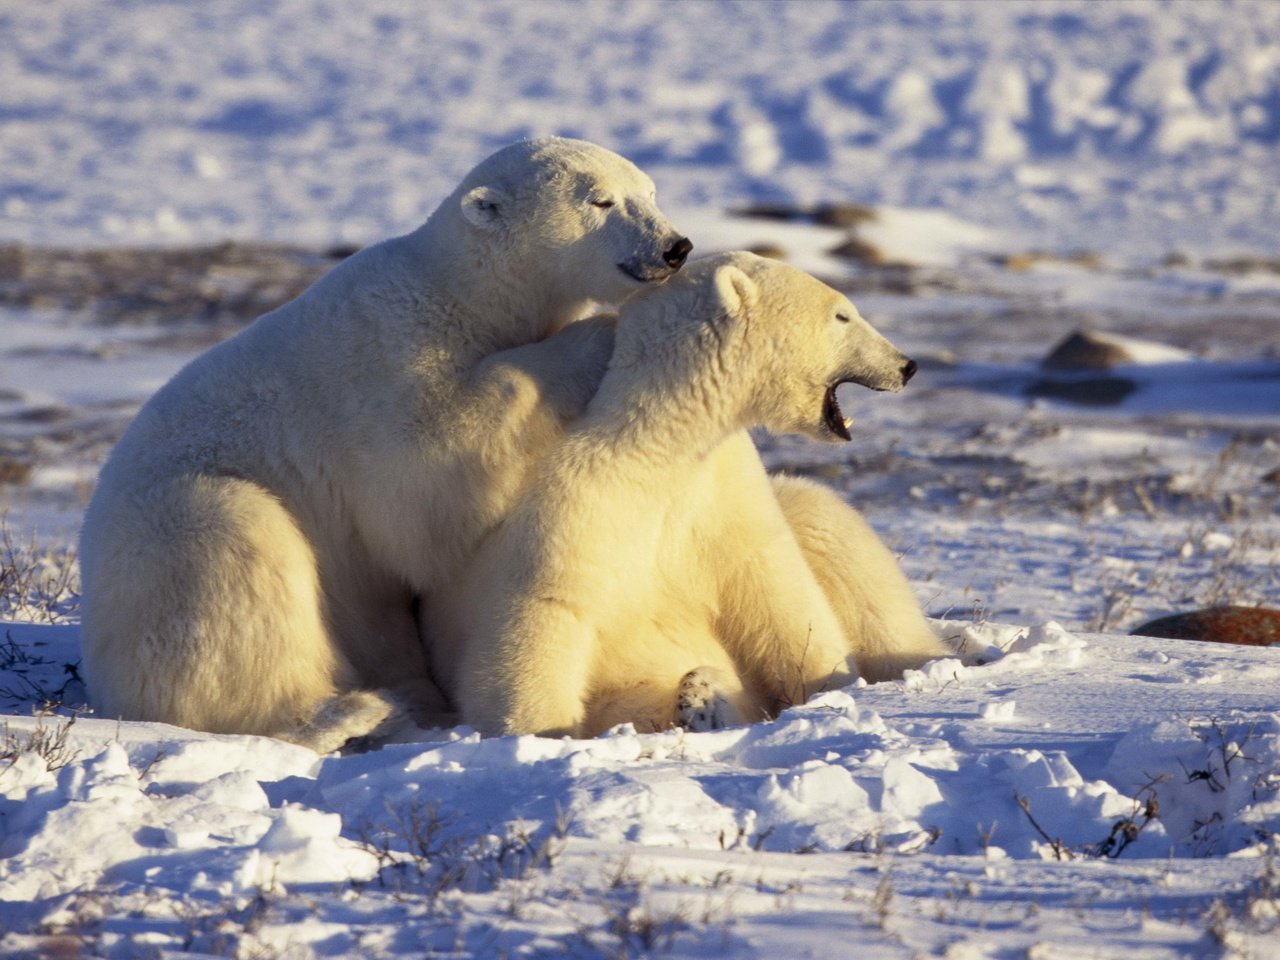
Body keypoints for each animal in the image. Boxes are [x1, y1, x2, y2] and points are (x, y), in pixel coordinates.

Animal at [78, 138, 691, 757]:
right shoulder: (393, 359)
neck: (463, 294)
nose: (675, 248)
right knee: (233, 557)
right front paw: (598, 337)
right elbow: (423, 484)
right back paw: (347, 711)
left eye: (650, 192)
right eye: (600, 200)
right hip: (171, 533)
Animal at [430, 249, 952, 737]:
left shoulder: (725, 497)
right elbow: (542, 615)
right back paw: (701, 700)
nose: (907, 365)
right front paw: (539, 731)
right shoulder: (574, 509)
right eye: (842, 315)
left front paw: (832, 688)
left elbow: (779, 597)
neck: (659, 449)